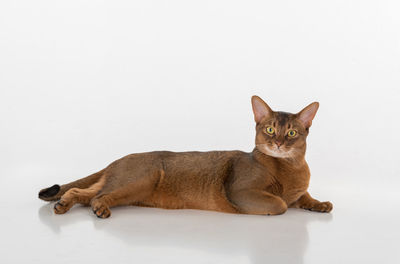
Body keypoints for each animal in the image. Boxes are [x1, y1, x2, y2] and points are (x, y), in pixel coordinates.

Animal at [38, 96, 332, 218]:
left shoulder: (300, 190)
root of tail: (117, 160)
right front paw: (281, 205)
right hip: (141, 179)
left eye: (292, 132)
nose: (278, 143)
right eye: (270, 129)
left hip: (127, 186)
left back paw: (63, 204)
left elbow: (304, 197)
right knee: (95, 197)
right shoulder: (240, 191)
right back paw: (97, 209)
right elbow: (280, 203)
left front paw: (320, 204)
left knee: (81, 192)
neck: (292, 166)